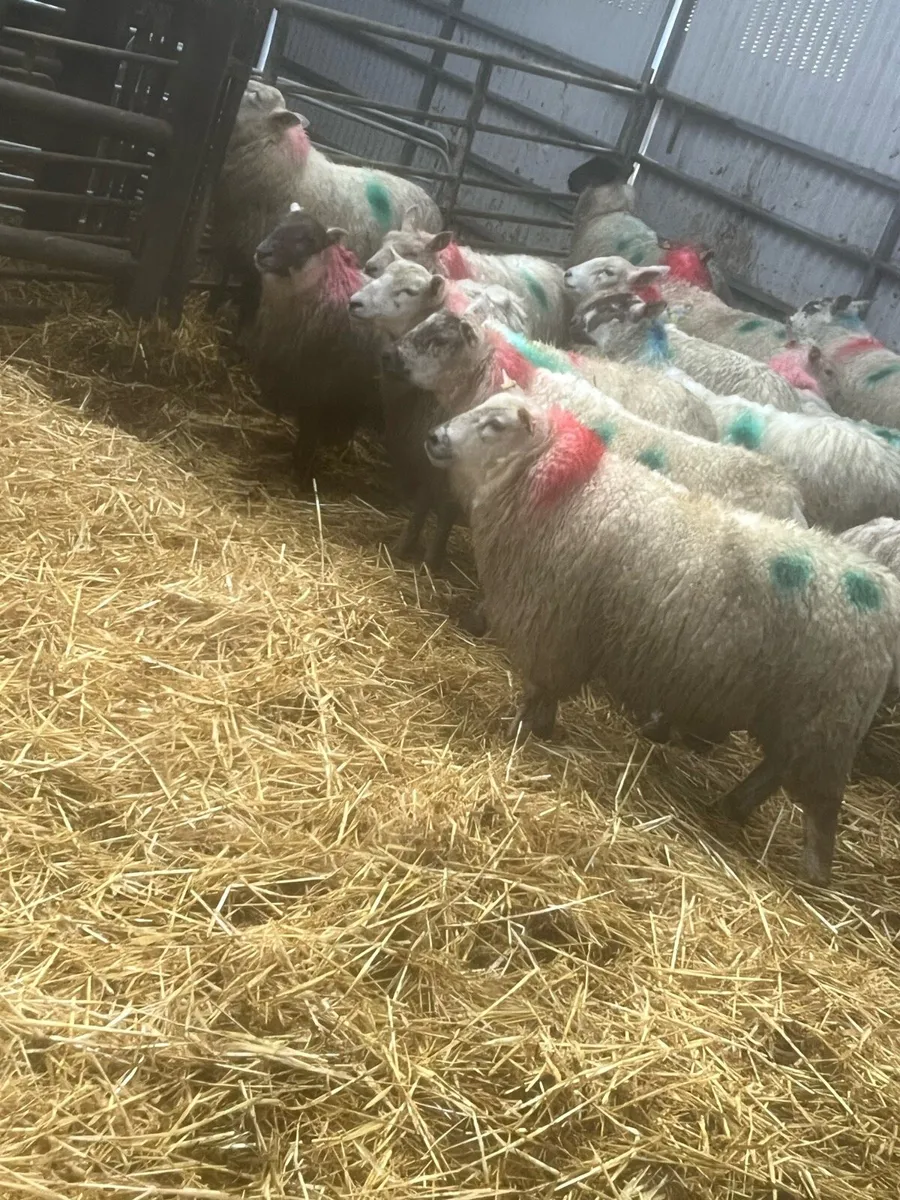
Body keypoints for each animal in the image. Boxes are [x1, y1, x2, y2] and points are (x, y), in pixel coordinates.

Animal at [248, 206, 382, 483]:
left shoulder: (323, 388)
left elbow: (310, 432)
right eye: (277, 226)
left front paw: (302, 470)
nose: (262, 253)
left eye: (307, 239)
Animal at [424, 392, 900, 885]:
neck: (557, 487)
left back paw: (814, 874)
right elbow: (548, 694)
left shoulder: (550, 626)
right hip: (804, 721)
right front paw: (542, 728)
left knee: (819, 807)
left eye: (495, 425)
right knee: (775, 769)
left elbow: (537, 690)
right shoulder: (564, 632)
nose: (434, 437)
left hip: (824, 721)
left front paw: (516, 734)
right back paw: (733, 806)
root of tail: (885, 593)